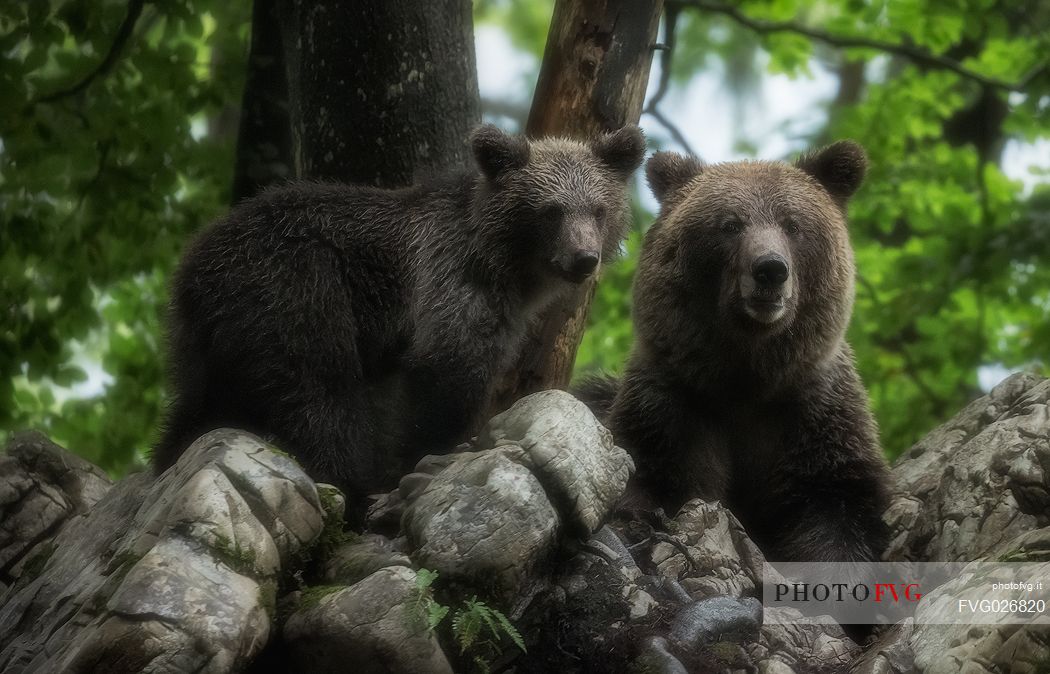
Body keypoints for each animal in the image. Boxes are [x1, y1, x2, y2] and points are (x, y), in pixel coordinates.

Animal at [155, 123, 646, 516]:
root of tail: (193, 264)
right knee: (319, 390)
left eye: (598, 208)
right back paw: (348, 491)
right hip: (293, 288)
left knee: (198, 407)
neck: (507, 265)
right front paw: (430, 457)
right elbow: (446, 372)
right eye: (551, 210)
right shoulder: (452, 284)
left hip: (211, 341)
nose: (583, 258)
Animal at [579, 140, 890, 562]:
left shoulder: (812, 413)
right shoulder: (675, 404)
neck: (745, 377)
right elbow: (651, 474)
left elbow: (836, 503)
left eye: (793, 225)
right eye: (729, 224)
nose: (771, 269)